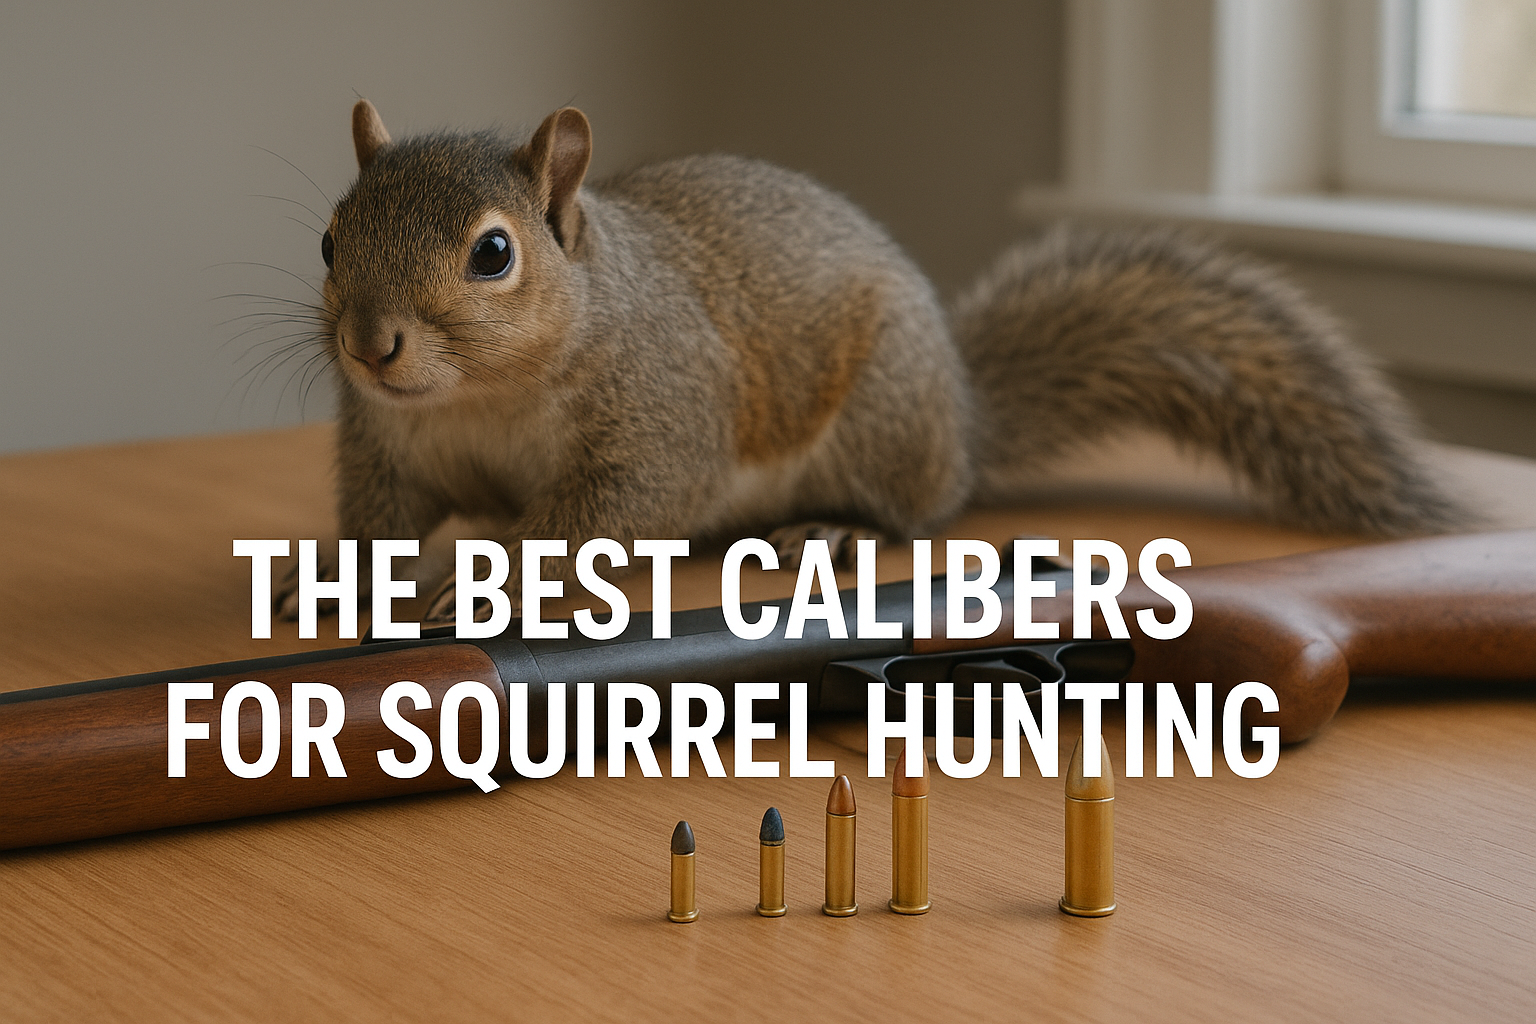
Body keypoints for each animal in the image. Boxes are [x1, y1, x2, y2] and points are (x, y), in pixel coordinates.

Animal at [274, 100, 1464, 621]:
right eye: (329, 239)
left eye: (494, 253)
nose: (369, 345)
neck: (477, 398)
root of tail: (966, 424)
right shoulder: (385, 445)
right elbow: (379, 523)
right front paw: (333, 579)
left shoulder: (659, 419)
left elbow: (602, 519)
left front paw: (493, 577)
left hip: (881, 425)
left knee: (915, 514)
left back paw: (823, 535)